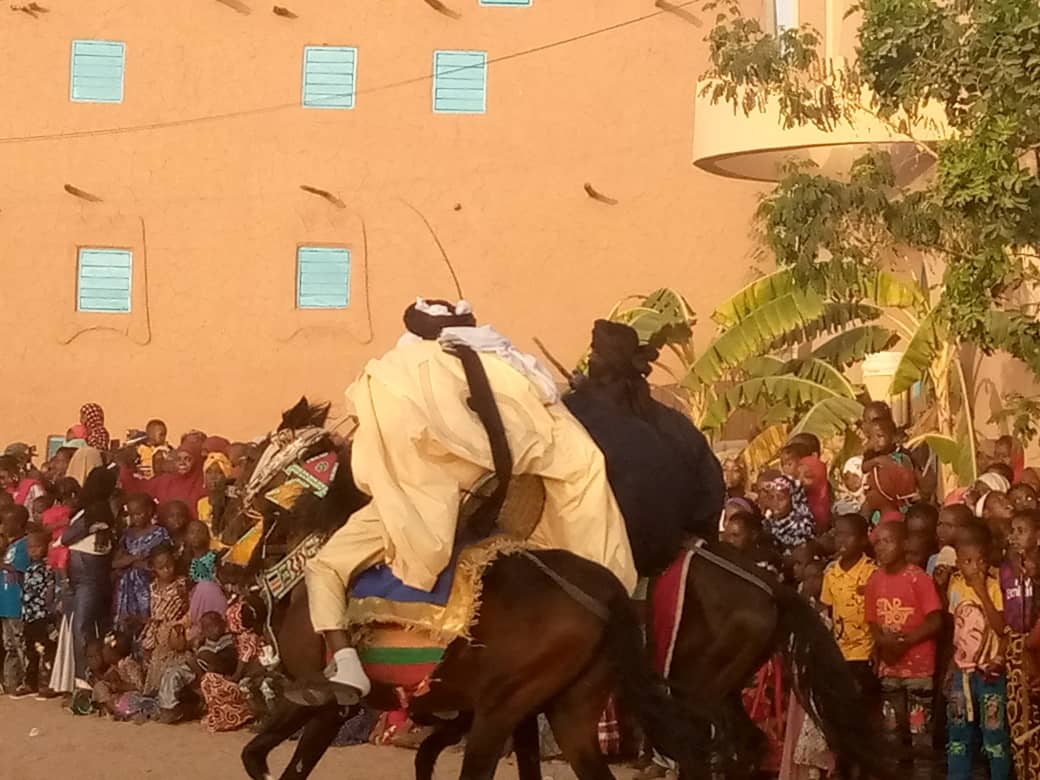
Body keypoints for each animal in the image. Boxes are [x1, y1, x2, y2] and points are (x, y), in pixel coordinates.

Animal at [231, 399, 711, 780]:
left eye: (255, 452)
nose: (234, 500)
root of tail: (602, 589)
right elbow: (255, 756)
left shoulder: (326, 703)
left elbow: (273, 760)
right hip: (567, 713)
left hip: (500, 711)